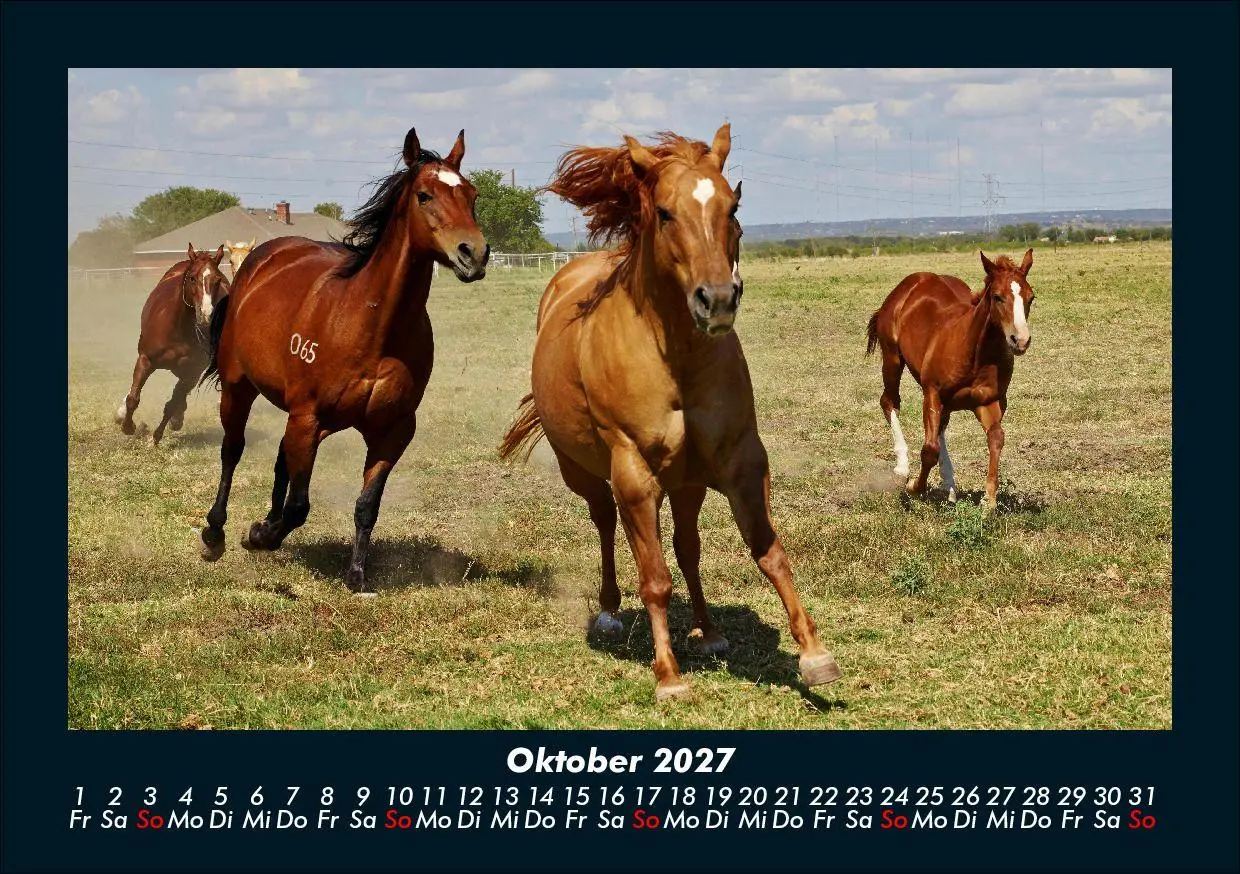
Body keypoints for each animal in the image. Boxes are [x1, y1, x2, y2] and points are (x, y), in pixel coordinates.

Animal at [114, 244, 230, 445]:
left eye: (218, 280)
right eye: (192, 278)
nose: (207, 315)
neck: (179, 329)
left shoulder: (193, 371)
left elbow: (172, 403)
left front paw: (155, 437)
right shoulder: (146, 359)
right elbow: (133, 398)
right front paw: (128, 426)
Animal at [197, 127, 488, 595]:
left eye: (472, 194)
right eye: (424, 195)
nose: (474, 254)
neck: (371, 326)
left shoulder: (392, 431)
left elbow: (366, 505)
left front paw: (356, 575)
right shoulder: (308, 417)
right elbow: (299, 506)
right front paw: (259, 536)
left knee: (281, 459)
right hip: (241, 390)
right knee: (232, 451)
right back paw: (215, 533)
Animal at [498, 125, 841, 702]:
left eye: (732, 206)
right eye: (663, 212)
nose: (718, 300)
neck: (674, 358)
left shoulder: (740, 461)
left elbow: (768, 553)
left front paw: (814, 655)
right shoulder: (635, 473)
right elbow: (654, 578)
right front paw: (668, 676)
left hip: (686, 483)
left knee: (687, 547)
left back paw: (709, 630)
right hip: (587, 474)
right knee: (607, 524)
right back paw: (611, 614)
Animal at [865, 249, 1036, 510]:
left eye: (1031, 298)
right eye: (997, 297)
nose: (1021, 340)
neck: (975, 353)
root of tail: (911, 283)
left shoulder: (990, 402)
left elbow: (996, 438)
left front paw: (989, 500)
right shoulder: (932, 392)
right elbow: (929, 449)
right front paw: (914, 486)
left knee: (942, 425)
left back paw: (949, 484)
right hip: (892, 359)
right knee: (889, 401)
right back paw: (903, 466)